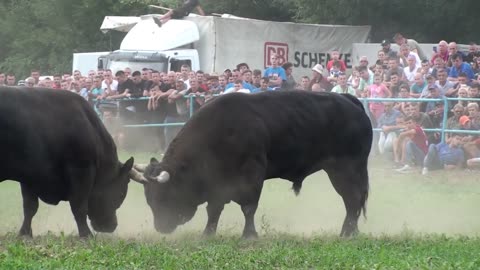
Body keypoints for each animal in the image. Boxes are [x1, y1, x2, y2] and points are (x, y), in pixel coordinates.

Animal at [131, 91, 376, 238]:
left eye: (164, 196)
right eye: (149, 199)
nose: (161, 227)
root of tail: (350, 100)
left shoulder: (252, 176)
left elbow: (248, 208)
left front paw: (249, 234)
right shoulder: (218, 183)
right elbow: (214, 209)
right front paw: (208, 233)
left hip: (347, 170)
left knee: (353, 199)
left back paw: (348, 232)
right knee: (352, 202)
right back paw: (350, 232)